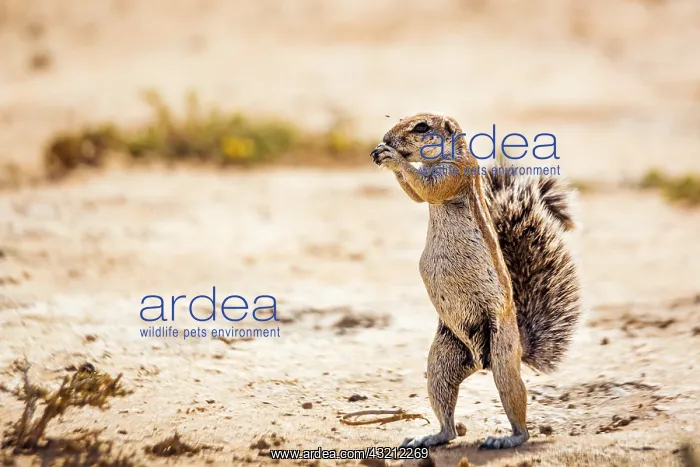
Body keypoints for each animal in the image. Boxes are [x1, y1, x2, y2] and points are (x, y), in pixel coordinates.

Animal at [370, 112, 581, 450]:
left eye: (421, 127)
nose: (387, 139)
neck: (447, 153)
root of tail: (483, 362)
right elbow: (416, 195)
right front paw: (382, 153)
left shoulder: (455, 173)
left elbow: (428, 189)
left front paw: (393, 158)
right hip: (443, 359)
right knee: (448, 422)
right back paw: (430, 437)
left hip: (502, 354)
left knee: (515, 403)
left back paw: (508, 438)